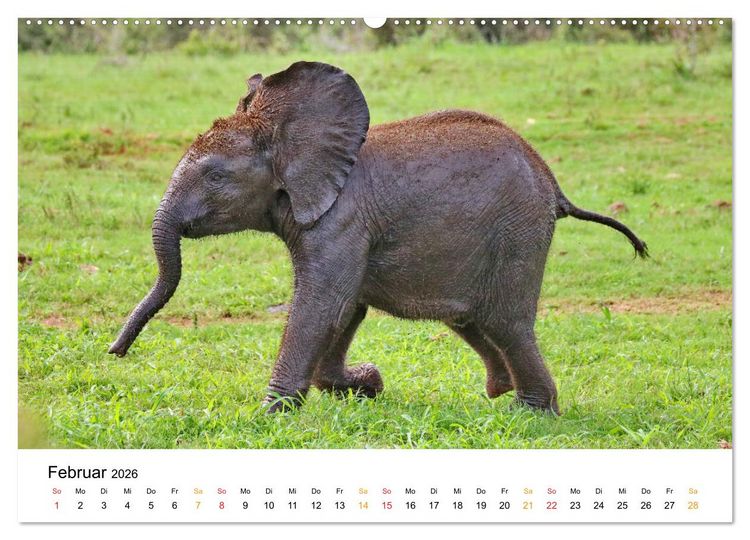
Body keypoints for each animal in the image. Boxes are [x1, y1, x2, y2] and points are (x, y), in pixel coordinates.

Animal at [109, 61, 647, 415]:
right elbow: (346, 308)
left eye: (216, 176)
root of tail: (552, 183)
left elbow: (323, 303)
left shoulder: (341, 221)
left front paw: (269, 415)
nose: (114, 353)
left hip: (518, 230)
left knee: (507, 320)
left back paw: (528, 411)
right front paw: (367, 384)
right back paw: (499, 391)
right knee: (472, 319)